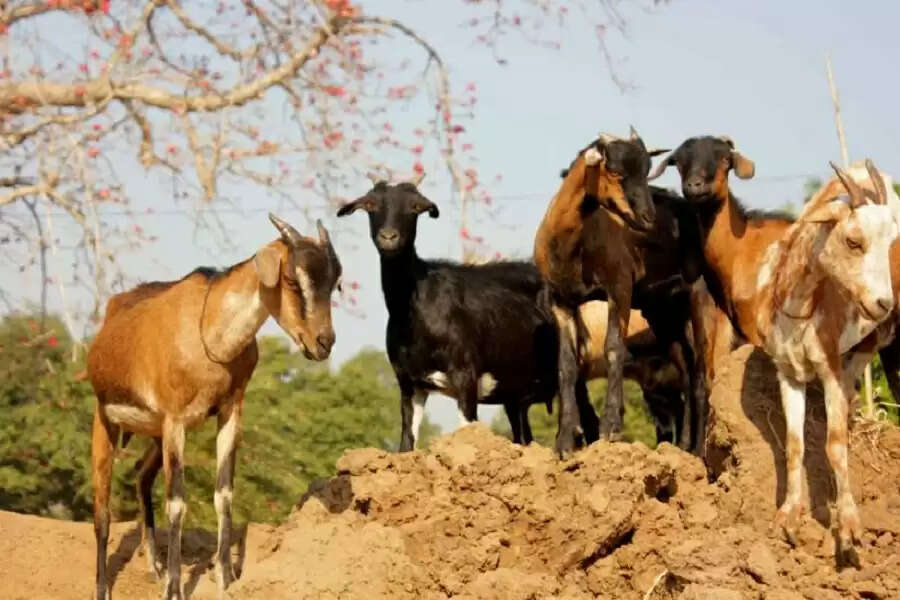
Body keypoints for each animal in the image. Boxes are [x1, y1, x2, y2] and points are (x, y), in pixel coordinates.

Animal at [87, 216, 342, 600]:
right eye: (292, 280)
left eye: (334, 282)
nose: (323, 342)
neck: (210, 329)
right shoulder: (174, 420)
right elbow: (177, 502)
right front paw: (175, 589)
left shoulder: (229, 411)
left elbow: (224, 494)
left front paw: (226, 578)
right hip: (106, 418)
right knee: (102, 511)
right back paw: (105, 587)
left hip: (153, 433)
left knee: (141, 474)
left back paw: (155, 566)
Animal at [336, 176, 584, 448]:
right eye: (371, 204)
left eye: (414, 207)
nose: (389, 236)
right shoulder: (409, 382)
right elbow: (407, 443)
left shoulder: (466, 376)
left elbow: (466, 433)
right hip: (516, 393)